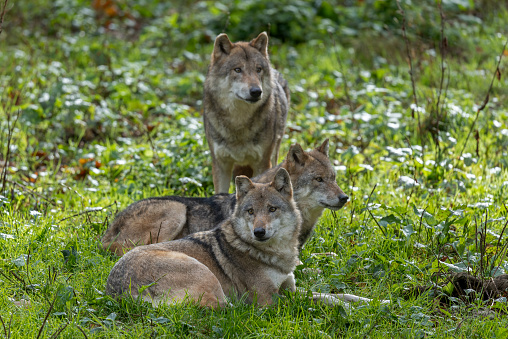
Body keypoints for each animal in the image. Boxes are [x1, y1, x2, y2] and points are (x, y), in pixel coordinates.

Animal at [104, 169, 300, 310]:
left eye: (272, 209)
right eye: (250, 211)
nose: (258, 232)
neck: (276, 253)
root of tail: (121, 293)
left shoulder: (291, 287)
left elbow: (305, 294)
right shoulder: (267, 298)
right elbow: (299, 304)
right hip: (200, 264)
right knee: (224, 307)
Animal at [203, 31, 290, 194]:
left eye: (258, 69)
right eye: (238, 69)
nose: (256, 91)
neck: (238, 122)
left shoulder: (262, 163)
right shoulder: (220, 165)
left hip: (275, 151)